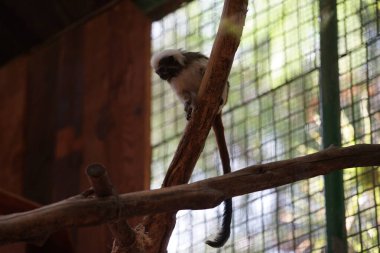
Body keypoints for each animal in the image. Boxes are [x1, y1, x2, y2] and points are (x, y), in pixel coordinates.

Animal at [151, 48, 232, 248]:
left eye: (166, 68)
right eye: (160, 72)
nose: (164, 75)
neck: (180, 71)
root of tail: (216, 113)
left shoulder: (197, 61)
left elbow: (211, 69)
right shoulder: (177, 85)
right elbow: (185, 96)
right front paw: (188, 106)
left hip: (222, 96)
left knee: (224, 87)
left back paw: (218, 99)